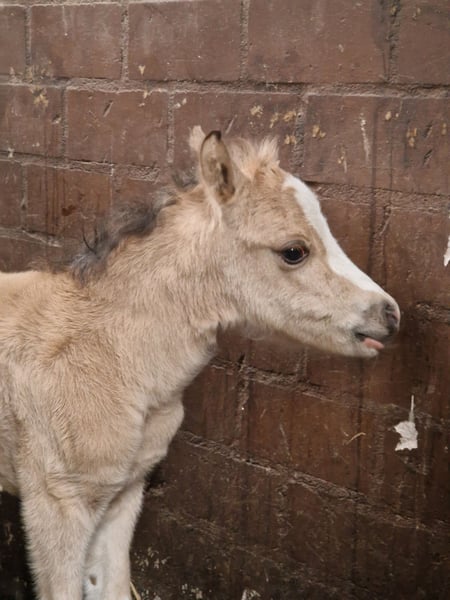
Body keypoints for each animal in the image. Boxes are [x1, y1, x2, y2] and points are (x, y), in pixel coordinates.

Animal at [0, 128, 400, 599]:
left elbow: (111, 583)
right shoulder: (57, 502)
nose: (390, 314)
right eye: (293, 251)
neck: (109, 354)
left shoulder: (123, 491)